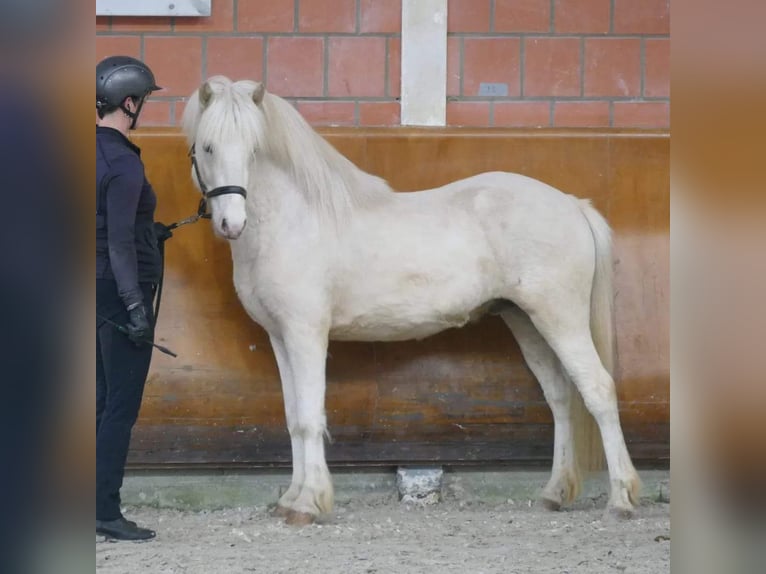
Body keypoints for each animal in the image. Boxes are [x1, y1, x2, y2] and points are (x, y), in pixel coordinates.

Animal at [180, 76, 641, 525]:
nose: (231, 223)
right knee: (561, 397)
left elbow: (310, 417)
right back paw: (555, 493)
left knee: (598, 390)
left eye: (254, 150)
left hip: (560, 318)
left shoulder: (305, 334)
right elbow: (294, 419)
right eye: (208, 146)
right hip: (525, 321)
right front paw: (291, 500)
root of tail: (572, 205)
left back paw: (621, 498)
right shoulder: (279, 337)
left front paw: (309, 504)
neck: (294, 222)